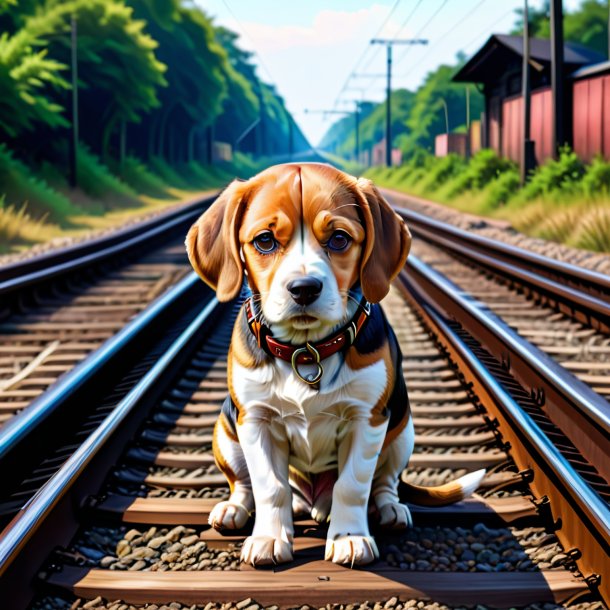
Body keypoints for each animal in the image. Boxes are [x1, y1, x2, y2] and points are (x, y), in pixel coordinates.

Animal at [184, 163, 480, 564]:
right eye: (264, 241)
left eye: (339, 239)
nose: (304, 288)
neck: (306, 350)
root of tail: (310, 501)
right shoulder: (255, 420)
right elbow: (269, 485)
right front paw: (269, 539)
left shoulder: (367, 419)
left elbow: (352, 484)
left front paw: (349, 538)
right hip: (225, 428)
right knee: (245, 483)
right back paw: (235, 508)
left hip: (402, 428)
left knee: (384, 482)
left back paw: (387, 509)